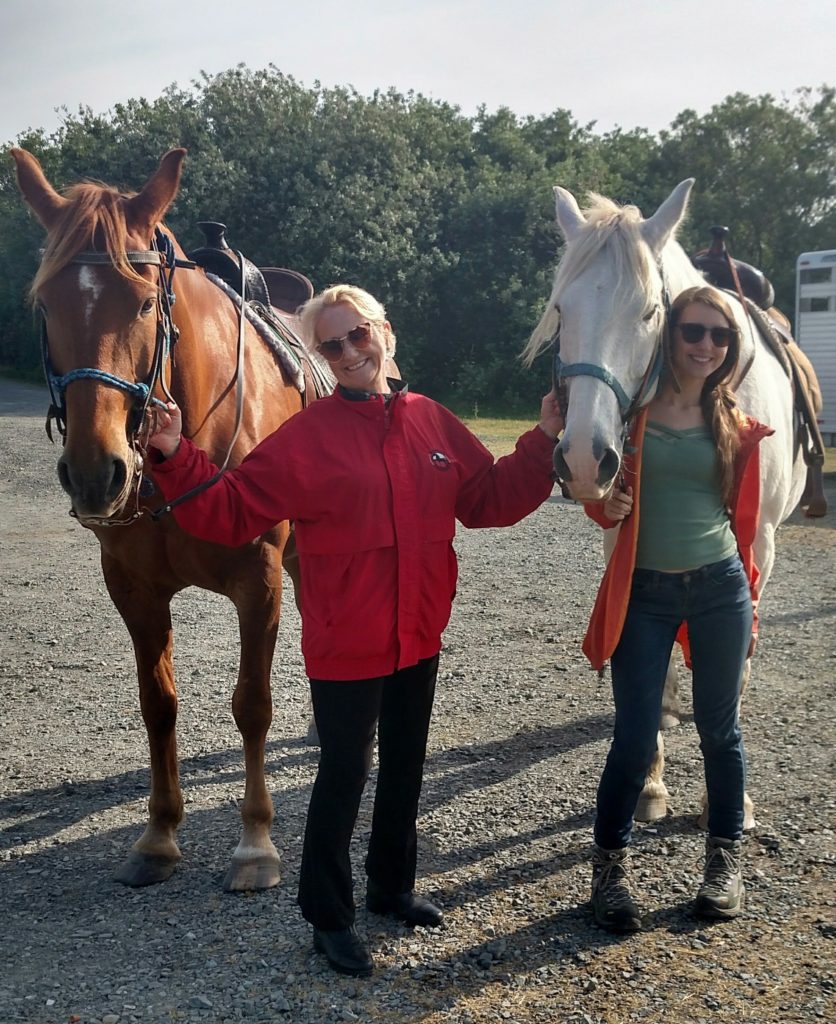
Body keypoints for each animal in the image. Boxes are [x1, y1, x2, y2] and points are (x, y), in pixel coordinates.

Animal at [12, 148, 307, 892]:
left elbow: (252, 704)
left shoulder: (260, 582)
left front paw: (255, 844)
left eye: (146, 302)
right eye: (46, 305)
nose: (97, 472)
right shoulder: (134, 589)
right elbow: (158, 705)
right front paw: (159, 834)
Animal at [522, 180, 803, 827]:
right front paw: (649, 780)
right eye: (562, 312)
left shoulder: (757, 545)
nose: (583, 459)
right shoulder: (621, 531)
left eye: (651, 312)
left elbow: (734, 661)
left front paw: (730, 798)